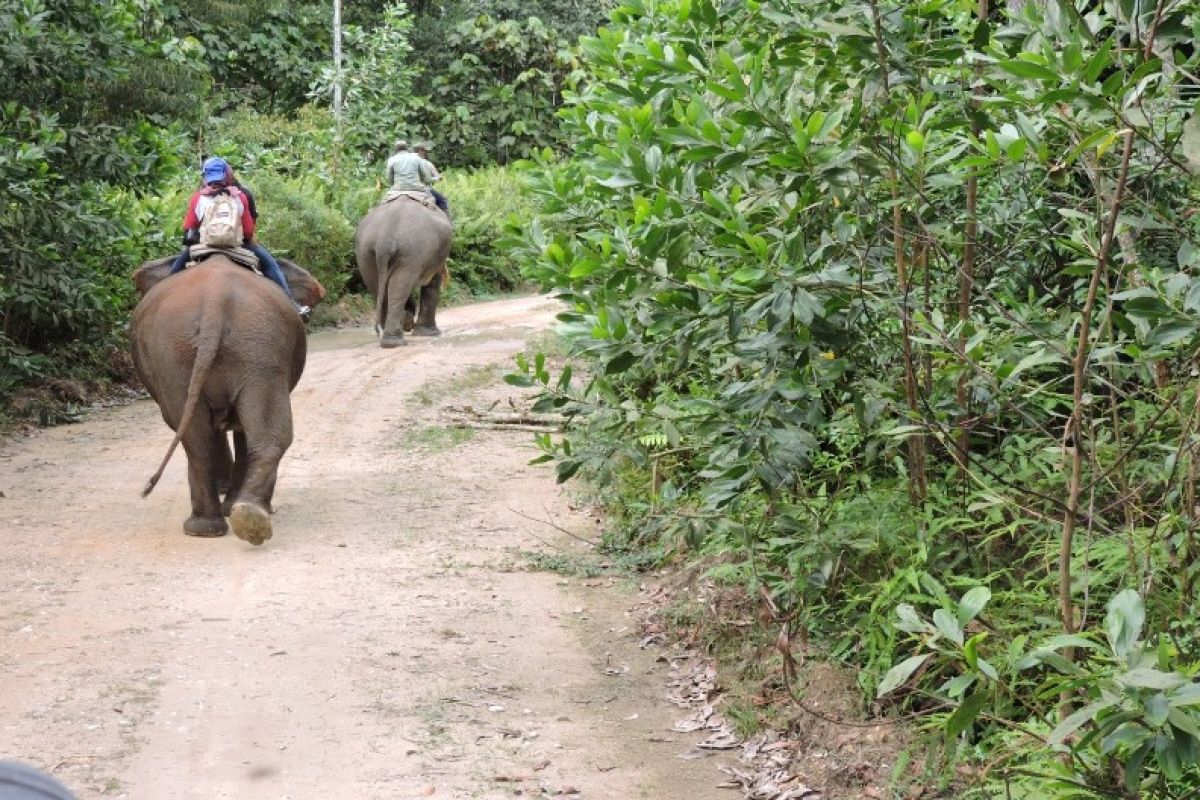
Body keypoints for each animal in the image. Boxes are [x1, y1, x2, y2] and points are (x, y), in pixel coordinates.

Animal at [129, 256, 326, 544]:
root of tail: (215, 298)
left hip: (231, 352)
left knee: (204, 438)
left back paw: (222, 521)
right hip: (247, 351)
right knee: (230, 438)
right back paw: (239, 518)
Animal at [355, 194, 453, 347]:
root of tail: (385, 237)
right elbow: (432, 284)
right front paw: (430, 333)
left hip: (365, 253)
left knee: (379, 285)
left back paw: (391, 337)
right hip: (413, 249)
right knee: (400, 285)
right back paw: (396, 341)